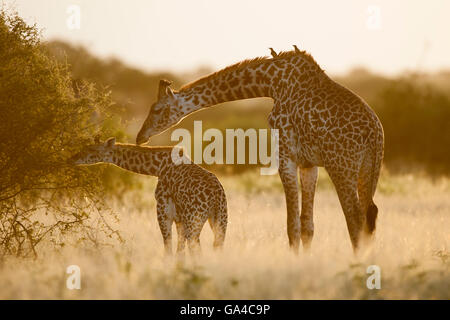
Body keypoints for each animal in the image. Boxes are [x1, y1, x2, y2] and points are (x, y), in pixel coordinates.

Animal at [69, 138, 229, 255]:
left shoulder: (164, 210)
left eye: (91, 150)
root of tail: (216, 196)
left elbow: (169, 248)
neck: (157, 167)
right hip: (220, 219)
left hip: (196, 221)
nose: (73, 158)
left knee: (197, 249)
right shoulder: (180, 218)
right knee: (217, 247)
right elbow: (179, 252)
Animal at [136, 47, 384, 252]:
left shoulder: (285, 155)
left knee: (355, 217)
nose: (140, 137)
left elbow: (292, 225)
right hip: (369, 169)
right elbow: (307, 226)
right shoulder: (308, 163)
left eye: (157, 109)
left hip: (341, 167)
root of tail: (374, 134)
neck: (272, 83)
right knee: (369, 215)